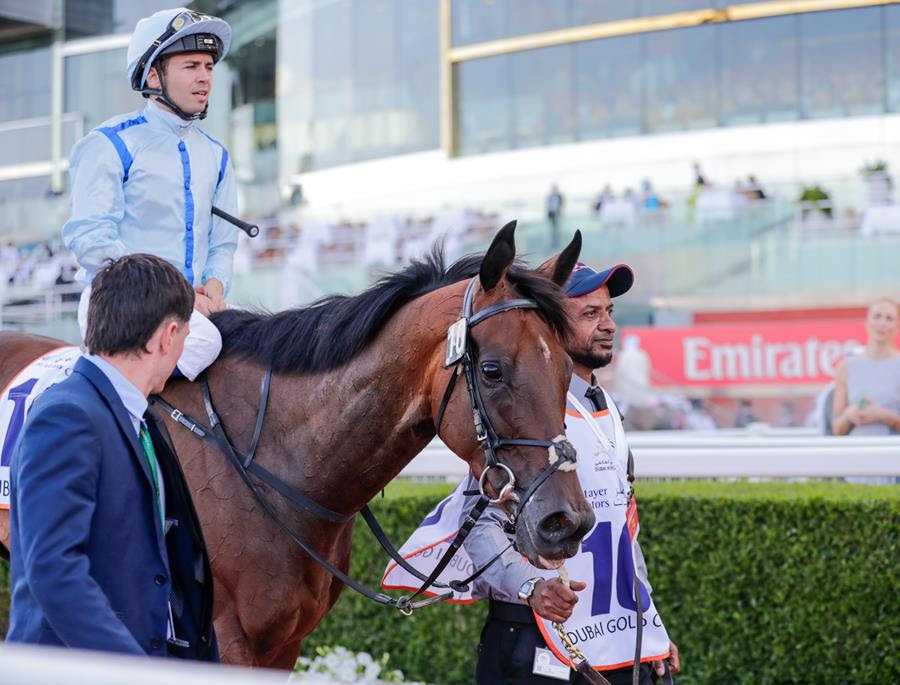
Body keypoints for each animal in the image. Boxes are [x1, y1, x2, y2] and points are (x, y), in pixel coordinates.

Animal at [0, 222, 595, 668]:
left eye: (567, 370)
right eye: (492, 370)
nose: (566, 521)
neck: (273, 461)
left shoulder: (285, 640)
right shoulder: (222, 636)